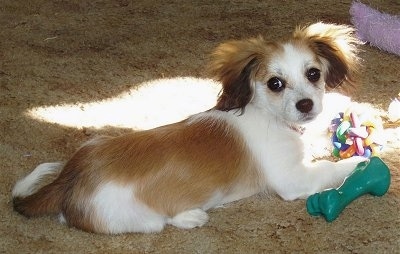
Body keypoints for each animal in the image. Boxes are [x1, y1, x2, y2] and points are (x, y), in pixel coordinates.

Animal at [11, 23, 366, 234]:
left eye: (313, 74)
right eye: (275, 83)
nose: (306, 105)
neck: (270, 116)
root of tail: (71, 177)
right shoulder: (294, 179)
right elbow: (332, 169)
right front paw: (364, 161)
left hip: (95, 141)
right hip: (143, 219)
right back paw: (191, 216)